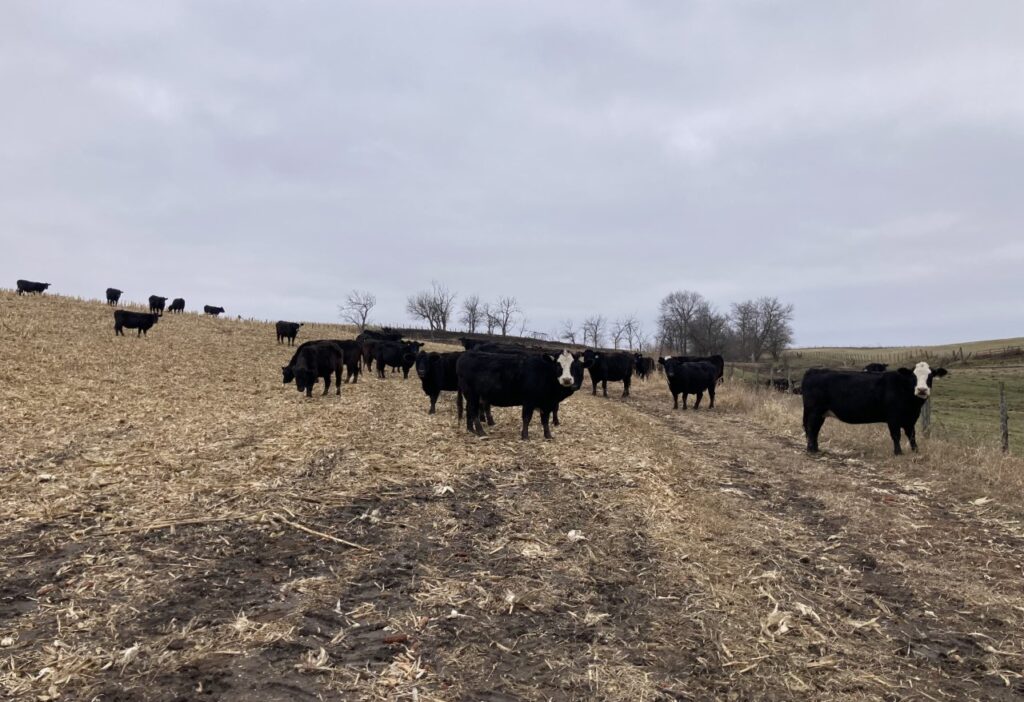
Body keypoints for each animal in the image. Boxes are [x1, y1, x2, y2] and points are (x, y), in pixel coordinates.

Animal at [801, 362, 948, 455]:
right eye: (913, 376)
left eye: (931, 376)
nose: (922, 390)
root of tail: (813, 370)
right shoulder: (893, 418)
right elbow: (896, 435)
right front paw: (898, 453)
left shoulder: (910, 419)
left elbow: (912, 435)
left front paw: (916, 451)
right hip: (814, 410)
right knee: (811, 428)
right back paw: (811, 450)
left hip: (820, 413)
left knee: (815, 429)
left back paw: (815, 448)